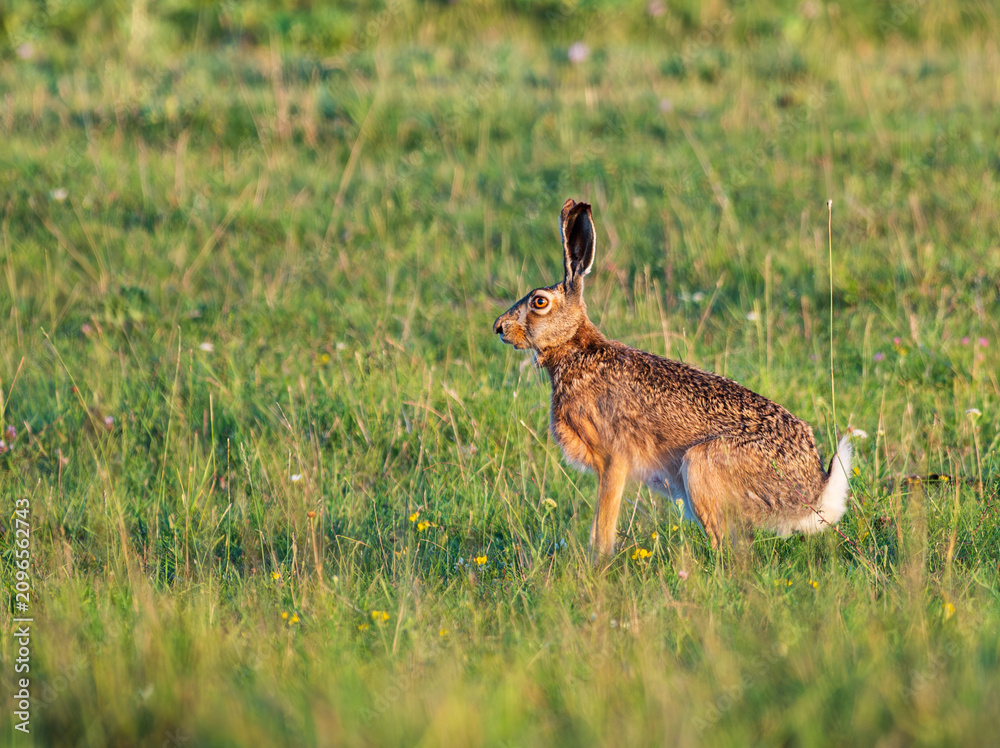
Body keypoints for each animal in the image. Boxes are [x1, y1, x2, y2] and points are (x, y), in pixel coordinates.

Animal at [493, 199, 853, 557]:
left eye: (539, 302)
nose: (499, 328)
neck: (575, 349)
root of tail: (812, 493)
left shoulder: (614, 459)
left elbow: (603, 524)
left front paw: (599, 562)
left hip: (700, 468)